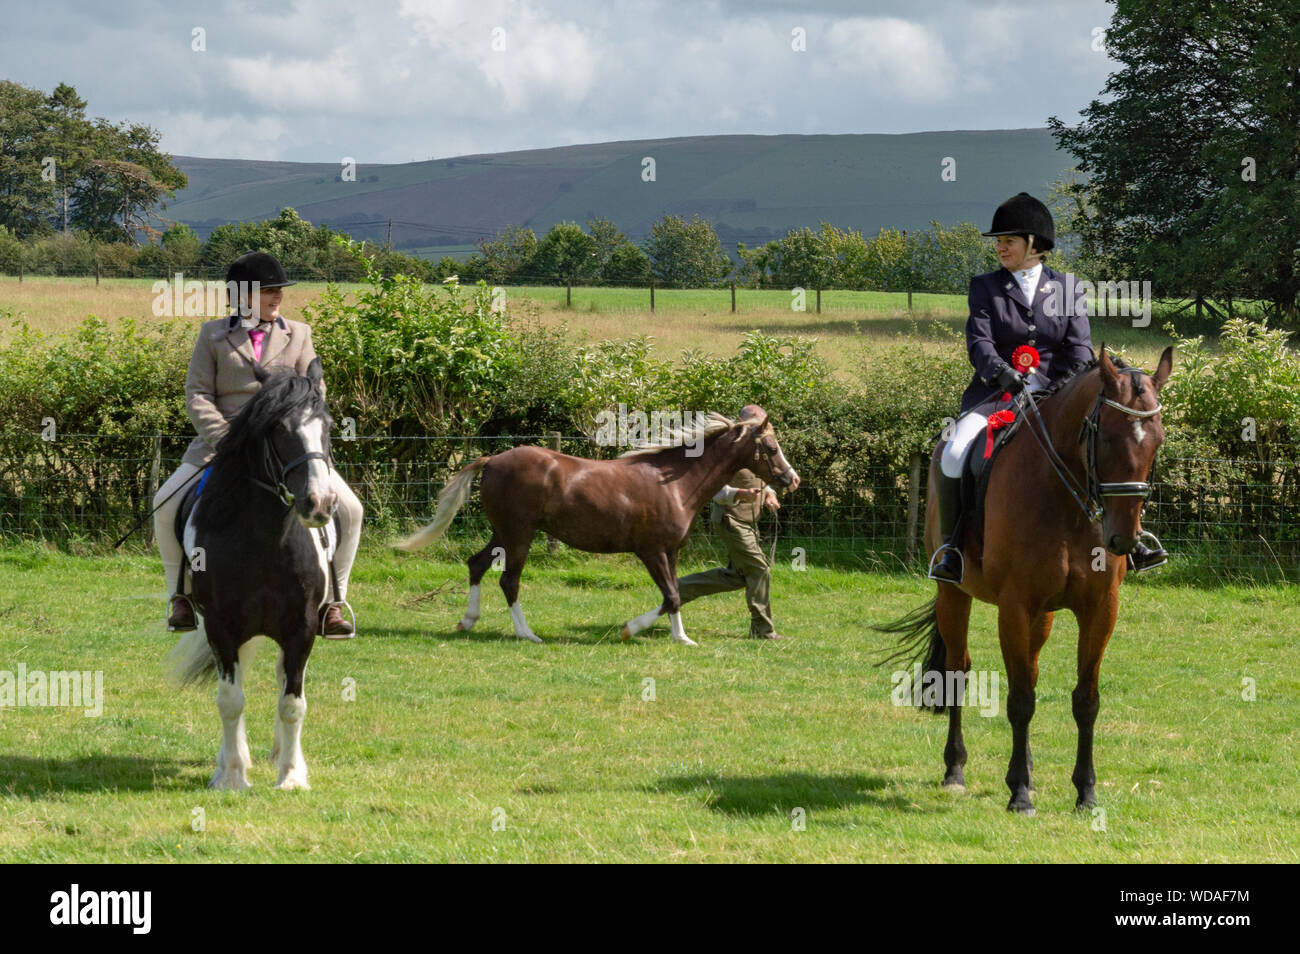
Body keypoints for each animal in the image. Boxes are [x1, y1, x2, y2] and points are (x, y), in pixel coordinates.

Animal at [165, 358, 338, 790]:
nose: (319, 503)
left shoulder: (301, 627)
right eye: (278, 429)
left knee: (281, 680)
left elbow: (292, 702)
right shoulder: (221, 625)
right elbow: (230, 700)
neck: (265, 540)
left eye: (327, 425)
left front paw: (291, 776)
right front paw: (231, 776)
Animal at [395, 408, 795, 647]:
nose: (791, 479)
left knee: (476, 564)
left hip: (503, 534)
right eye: (772, 447)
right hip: (519, 535)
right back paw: (527, 634)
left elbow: (675, 595)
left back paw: (468, 621)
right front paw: (629, 629)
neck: (675, 483)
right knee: (509, 581)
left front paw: (681, 638)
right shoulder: (651, 551)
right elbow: (671, 595)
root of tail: (493, 459)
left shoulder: (671, 551)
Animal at [878, 348, 1175, 816]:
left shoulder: (1100, 608)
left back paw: (1031, 773)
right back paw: (955, 771)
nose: (1123, 539)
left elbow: (1085, 699)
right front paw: (1018, 793)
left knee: (1030, 669)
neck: (1065, 498)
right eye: (1107, 438)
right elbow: (1020, 700)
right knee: (958, 671)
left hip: (1042, 616)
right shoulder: (1015, 606)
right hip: (953, 593)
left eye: (1157, 441)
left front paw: (1086, 793)